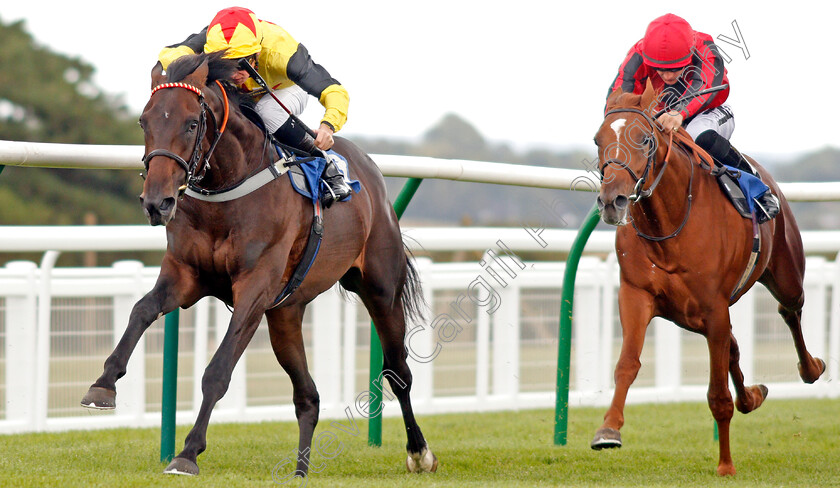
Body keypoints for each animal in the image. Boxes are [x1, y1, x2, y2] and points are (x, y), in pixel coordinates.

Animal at [82, 53, 440, 476]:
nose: (157, 202)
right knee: (308, 396)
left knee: (398, 372)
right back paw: (300, 471)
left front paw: (187, 453)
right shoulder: (185, 274)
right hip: (285, 313)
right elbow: (141, 310)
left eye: (191, 124)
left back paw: (419, 452)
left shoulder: (254, 290)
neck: (227, 191)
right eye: (144, 121)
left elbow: (218, 370)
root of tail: (372, 175)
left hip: (380, 289)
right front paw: (103, 385)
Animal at [592, 82, 824, 474]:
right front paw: (609, 429)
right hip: (690, 316)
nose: (613, 201)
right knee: (735, 347)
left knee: (790, 311)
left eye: (645, 139)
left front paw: (726, 465)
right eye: (598, 139)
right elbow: (627, 364)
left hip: (785, 274)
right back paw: (753, 395)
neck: (669, 224)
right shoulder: (637, 295)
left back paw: (811, 368)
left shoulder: (714, 308)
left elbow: (718, 396)